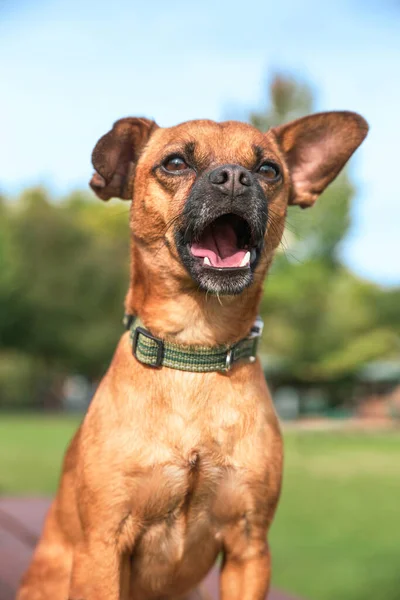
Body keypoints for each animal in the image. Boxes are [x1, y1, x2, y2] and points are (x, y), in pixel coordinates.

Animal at [17, 110, 368, 596]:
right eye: (176, 163)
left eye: (268, 170)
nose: (235, 177)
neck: (195, 351)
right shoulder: (102, 547)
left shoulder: (249, 549)